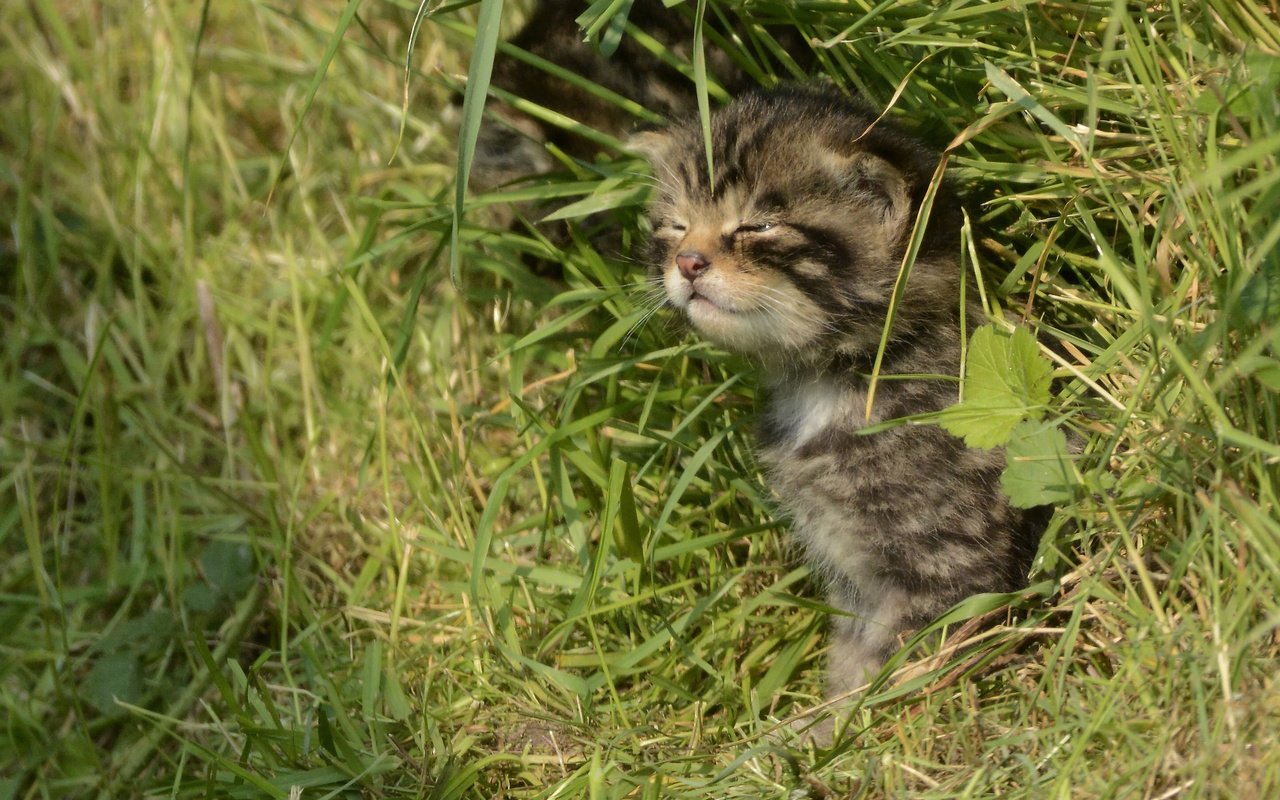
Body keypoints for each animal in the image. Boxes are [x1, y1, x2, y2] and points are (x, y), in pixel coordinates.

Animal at [637, 87, 1049, 696]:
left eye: (759, 227)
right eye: (675, 226)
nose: (687, 262)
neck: (836, 380)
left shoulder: (950, 564)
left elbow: (896, 666)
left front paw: (856, 720)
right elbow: (853, 657)